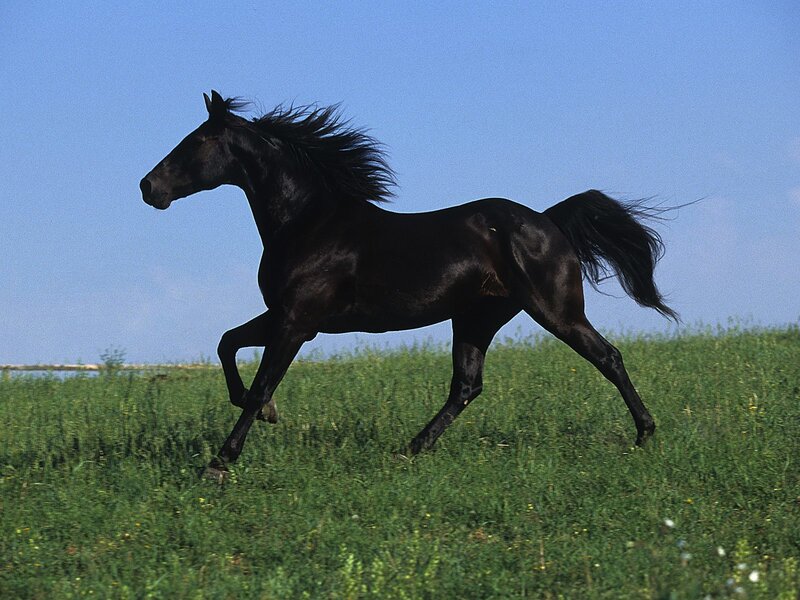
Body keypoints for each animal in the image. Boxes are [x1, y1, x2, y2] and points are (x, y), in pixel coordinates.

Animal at [140, 91, 678, 481]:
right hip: (476, 318)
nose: (148, 188)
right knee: (466, 386)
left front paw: (221, 461)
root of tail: (549, 222)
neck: (307, 223)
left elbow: (259, 384)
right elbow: (227, 344)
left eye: (196, 142)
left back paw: (646, 433)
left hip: (555, 311)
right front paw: (268, 415)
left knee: (607, 357)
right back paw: (411, 450)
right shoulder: (286, 316)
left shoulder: (296, 322)